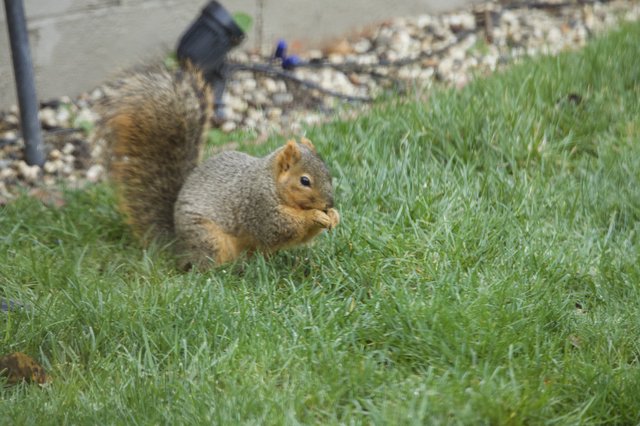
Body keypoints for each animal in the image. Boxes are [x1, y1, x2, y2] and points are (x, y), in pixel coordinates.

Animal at [95, 65, 340, 270]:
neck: (270, 182)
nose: (329, 203)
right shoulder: (258, 206)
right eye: (304, 181)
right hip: (208, 237)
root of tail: (179, 246)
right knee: (207, 265)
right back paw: (228, 270)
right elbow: (279, 229)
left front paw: (334, 216)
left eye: (328, 174)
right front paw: (315, 216)